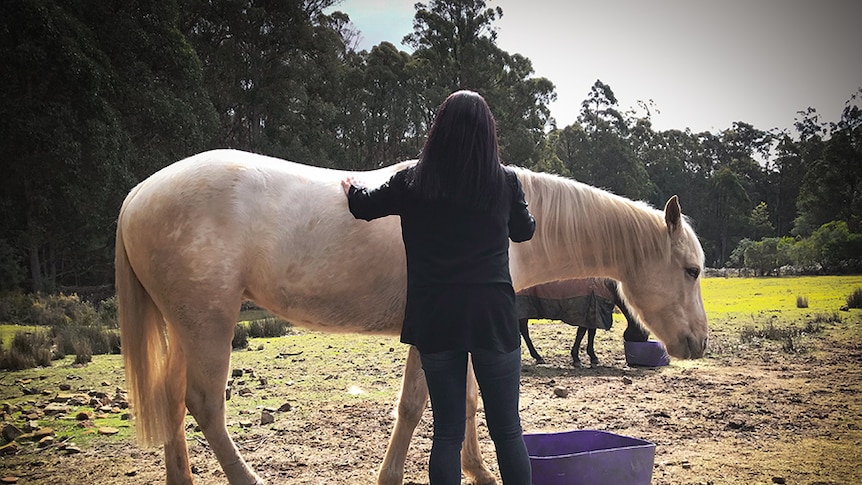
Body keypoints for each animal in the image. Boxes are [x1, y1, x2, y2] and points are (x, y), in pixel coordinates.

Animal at [520, 278, 648, 364]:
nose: (645, 338)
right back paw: (538, 357)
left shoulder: (592, 313)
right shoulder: (589, 311)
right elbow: (581, 333)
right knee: (525, 332)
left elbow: (590, 333)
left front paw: (592, 356)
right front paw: (577, 358)